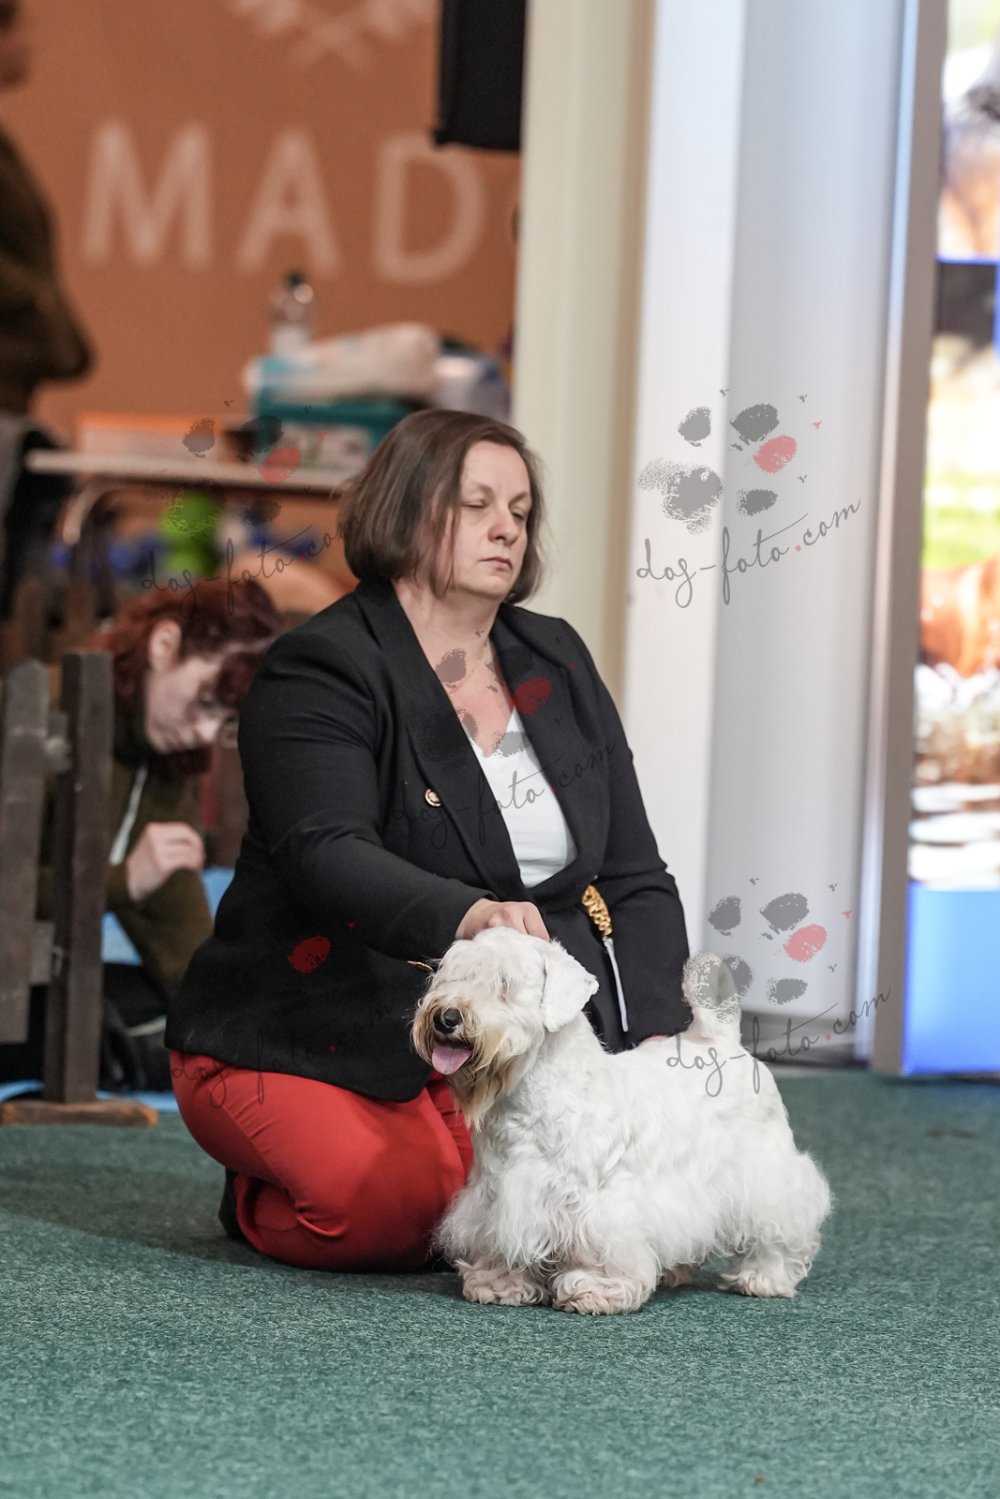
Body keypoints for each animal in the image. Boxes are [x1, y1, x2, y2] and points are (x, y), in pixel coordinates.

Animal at [411, 929, 833, 1315]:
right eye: (449, 974)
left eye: (505, 984)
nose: (446, 1017)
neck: (532, 1099)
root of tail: (723, 1040)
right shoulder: (496, 1195)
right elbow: (498, 1241)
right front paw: (500, 1282)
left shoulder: (599, 1205)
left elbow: (600, 1251)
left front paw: (594, 1289)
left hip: (765, 1170)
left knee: (779, 1226)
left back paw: (763, 1277)